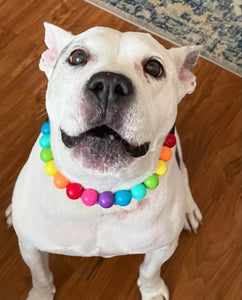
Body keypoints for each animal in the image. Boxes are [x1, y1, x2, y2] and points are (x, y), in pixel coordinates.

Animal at [5, 24, 202, 300]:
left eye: (154, 68)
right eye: (77, 57)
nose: (110, 84)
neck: (101, 190)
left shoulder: (162, 246)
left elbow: (150, 271)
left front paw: (152, 291)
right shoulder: (30, 246)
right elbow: (40, 275)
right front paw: (41, 294)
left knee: (183, 173)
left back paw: (188, 209)